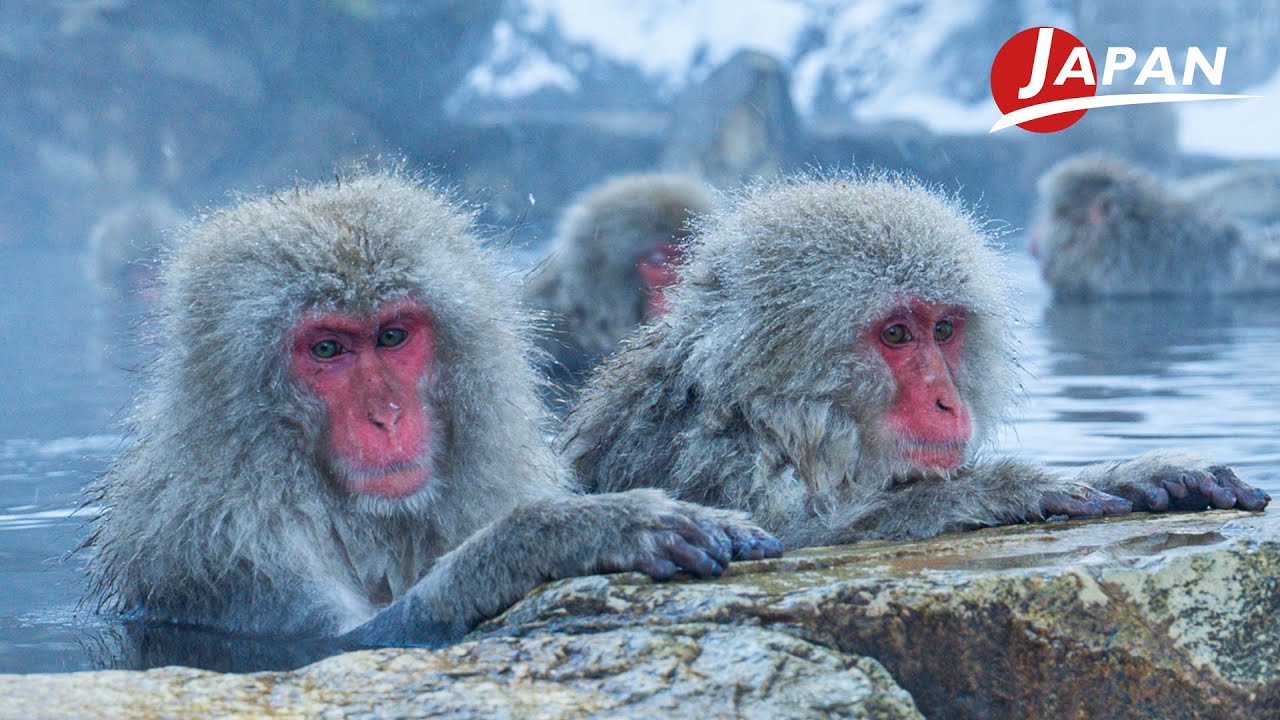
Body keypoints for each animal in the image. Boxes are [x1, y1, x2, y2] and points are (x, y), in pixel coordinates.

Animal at [560, 174, 1269, 550]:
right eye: (897, 334)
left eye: (944, 330)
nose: (947, 400)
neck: (765, 419)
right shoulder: (714, 463)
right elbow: (792, 536)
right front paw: (1007, 489)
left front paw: (1145, 473)